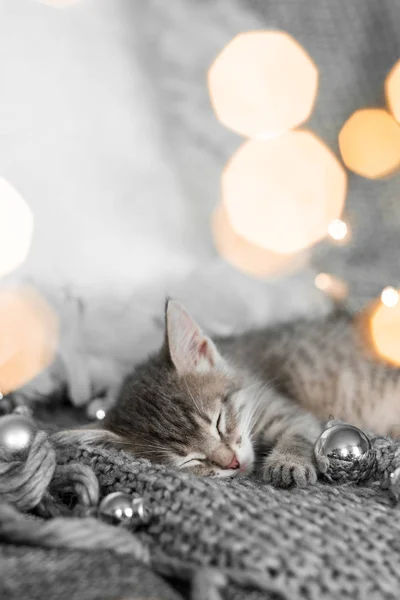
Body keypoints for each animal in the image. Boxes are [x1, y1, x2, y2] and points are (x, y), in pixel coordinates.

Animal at [57, 300, 400, 488]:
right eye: (190, 460)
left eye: (219, 422)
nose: (232, 463)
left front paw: (287, 463)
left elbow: (299, 433)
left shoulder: (286, 409)